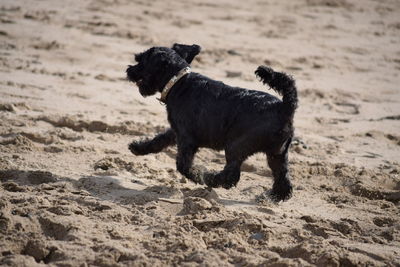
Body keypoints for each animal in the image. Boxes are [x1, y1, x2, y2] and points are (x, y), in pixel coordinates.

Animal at [126, 44, 298, 202]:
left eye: (140, 60)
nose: (128, 70)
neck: (179, 83)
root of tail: (284, 107)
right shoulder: (176, 132)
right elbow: (159, 140)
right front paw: (138, 147)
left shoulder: (187, 139)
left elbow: (183, 164)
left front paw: (197, 175)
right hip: (277, 153)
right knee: (282, 177)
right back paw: (275, 196)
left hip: (236, 146)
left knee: (231, 174)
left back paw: (210, 178)